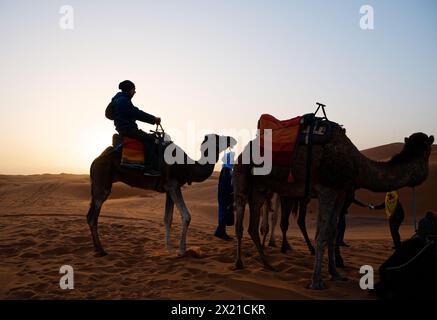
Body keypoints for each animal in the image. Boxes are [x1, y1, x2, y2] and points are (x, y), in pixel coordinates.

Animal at [85, 134, 235, 256]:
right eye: (219, 137)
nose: (232, 139)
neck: (188, 166)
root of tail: (95, 161)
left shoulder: (169, 189)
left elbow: (167, 218)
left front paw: (169, 249)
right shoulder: (173, 185)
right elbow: (186, 216)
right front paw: (181, 250)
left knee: (90, 215)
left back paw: (97, 249)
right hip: (102, 183)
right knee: (93, 216)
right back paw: (101, 250)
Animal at [233, 128, 430, 290]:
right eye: (428, 153)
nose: (425, 175)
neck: (356, 164)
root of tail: (243, 152)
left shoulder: (340, 193)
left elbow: (332, 232)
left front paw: (335, 273)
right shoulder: (327, 190)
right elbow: (321, 235)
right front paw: (316, 282)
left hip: (260, 188)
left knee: (253, 226)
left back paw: (268, 264)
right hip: (243, 176)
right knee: (240, 222)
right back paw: (239, 263)